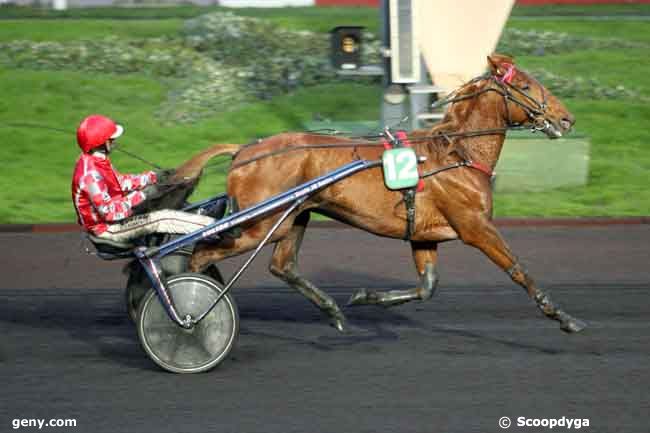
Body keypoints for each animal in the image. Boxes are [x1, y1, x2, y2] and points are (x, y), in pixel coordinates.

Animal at [170, 54, 584, 334]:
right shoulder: (475, 226)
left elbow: (427, 287)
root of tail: (245, 149)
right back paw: (189, 312)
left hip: (293, 216)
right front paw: (564, 317)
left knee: (282, 266)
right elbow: (519, 270)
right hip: (260, 223)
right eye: (526, 86)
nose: (566, 119)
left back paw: (333, 312)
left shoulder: (424, 235)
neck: (457, 154)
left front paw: (367, 298)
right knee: (202, 253)